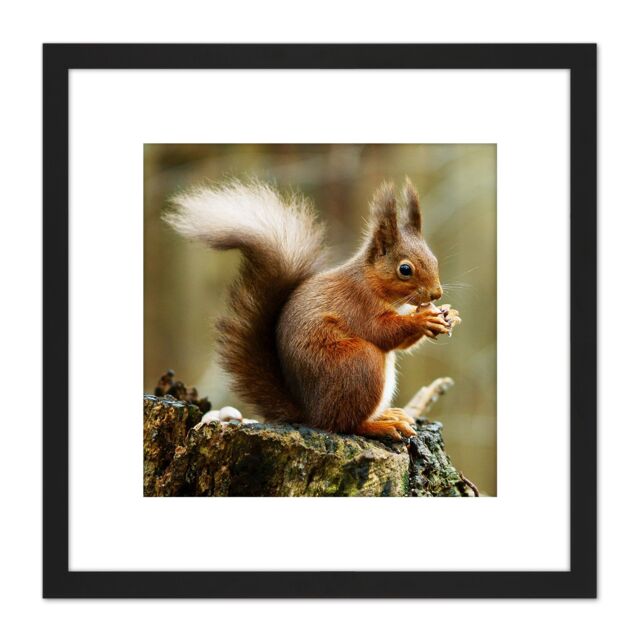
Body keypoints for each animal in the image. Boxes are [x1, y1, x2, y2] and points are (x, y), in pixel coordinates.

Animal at [165, 178, 461, 441]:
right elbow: (383, 332)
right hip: (358, 363)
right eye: (405, 269)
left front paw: (449, 314)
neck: (372, 283)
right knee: (344, 424)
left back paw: (388, 415)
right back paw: (380, 425)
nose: (436, 293)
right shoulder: (357, 304)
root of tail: (310, 413)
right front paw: (423, 318)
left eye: (433, 258)